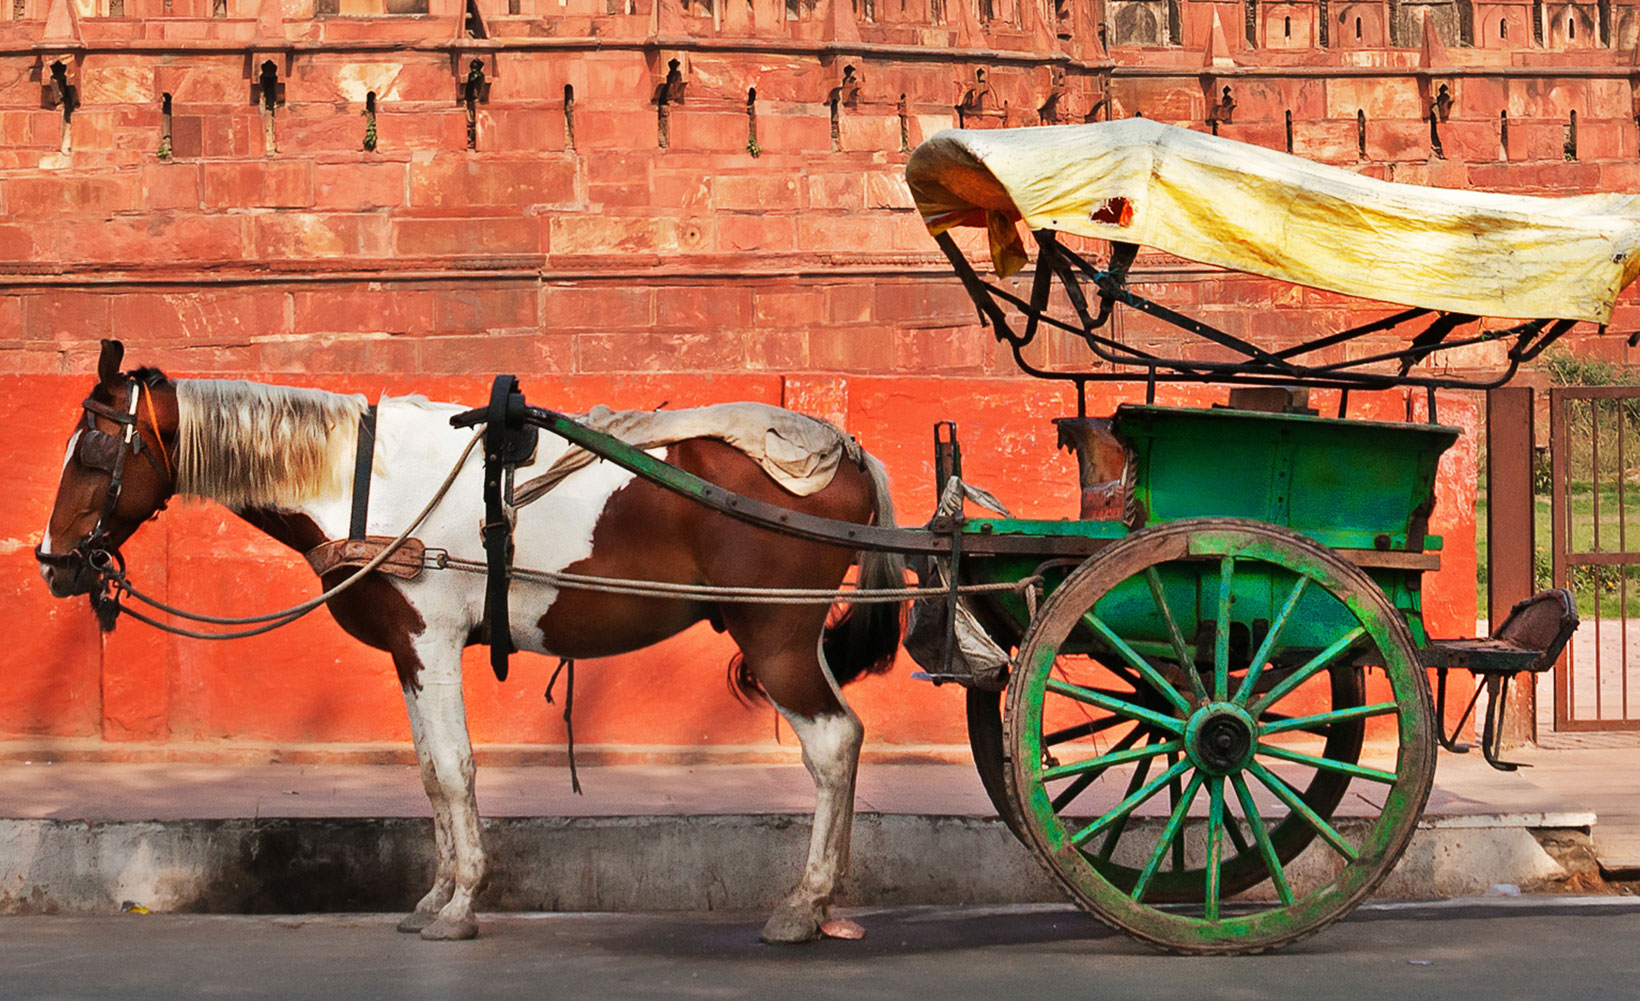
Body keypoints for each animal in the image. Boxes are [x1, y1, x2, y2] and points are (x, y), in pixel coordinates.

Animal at [38, 339, 905, 938]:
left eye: (95, 451)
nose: (53, 560)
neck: (362, 480)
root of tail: (848, 453)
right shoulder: (408, 653)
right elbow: (428, 772)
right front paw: (432, 895)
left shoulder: (431, 636)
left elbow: (455, 770)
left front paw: (459, 905)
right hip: (790, 630)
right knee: (843, 740)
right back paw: (826, 901)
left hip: (775, 631)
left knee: (833, 742)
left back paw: (803, 903)